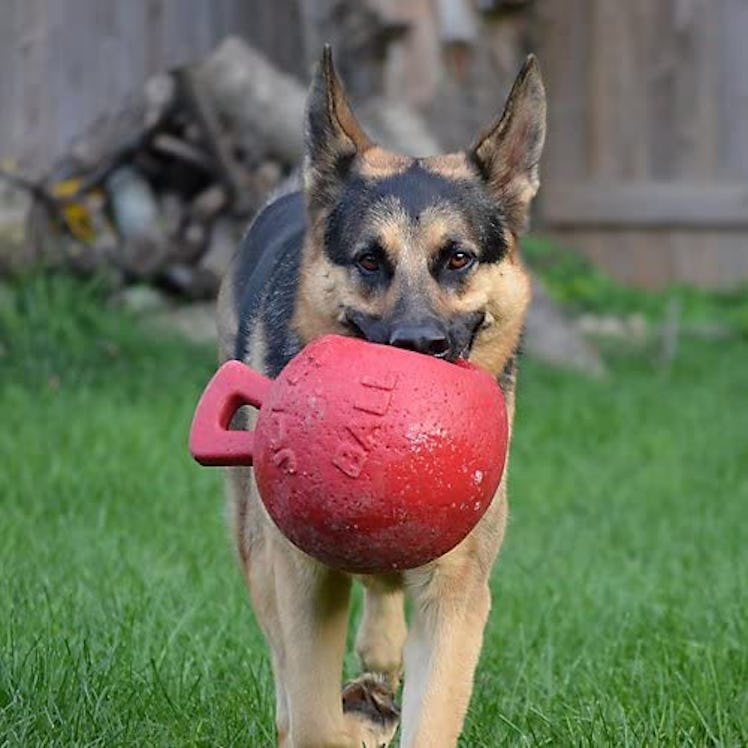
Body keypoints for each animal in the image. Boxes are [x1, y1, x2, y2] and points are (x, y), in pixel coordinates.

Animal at [215, 48, 544, 748]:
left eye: (458, 258)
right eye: (369, 260)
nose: (417, 346)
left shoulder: (456, 595)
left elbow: (431, 716)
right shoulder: (302, 578)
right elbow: (313, 716)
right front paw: (342, 720)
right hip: (253, 541)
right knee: (285, 666)